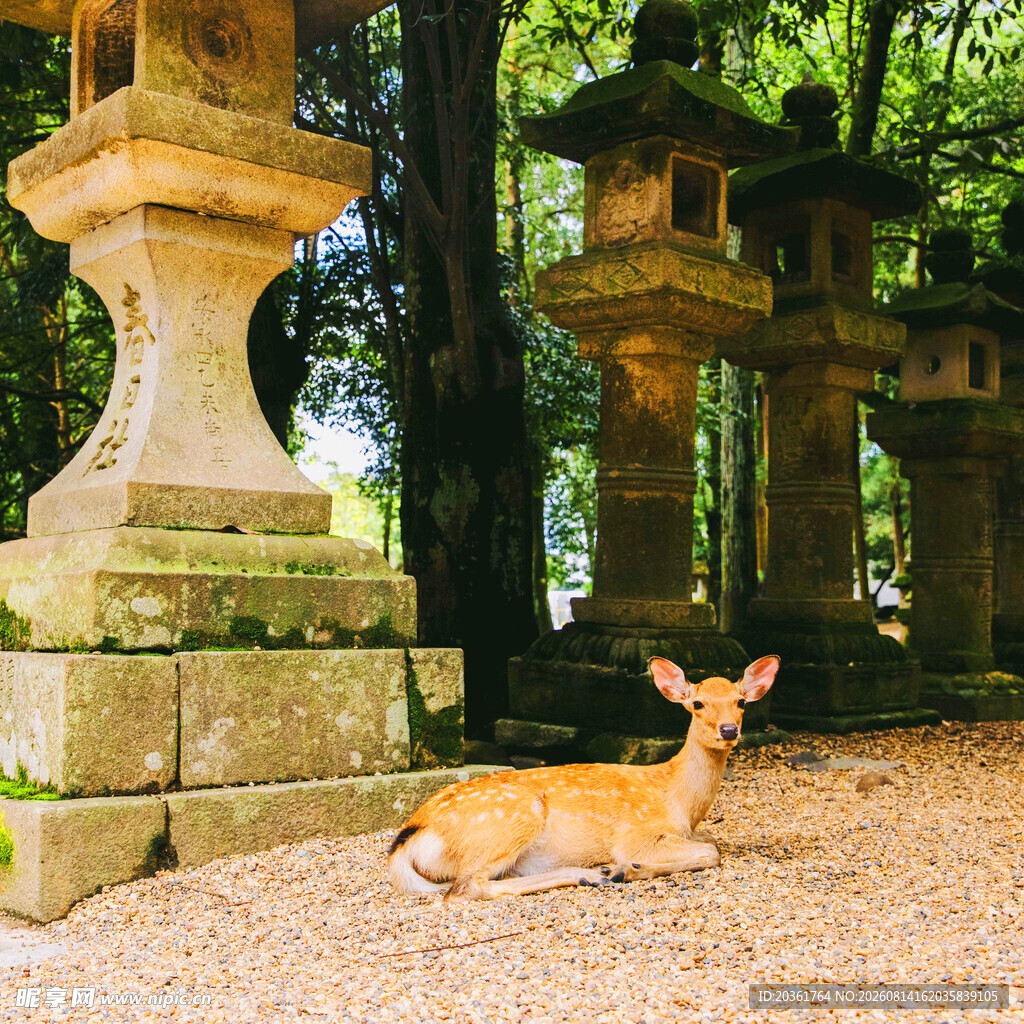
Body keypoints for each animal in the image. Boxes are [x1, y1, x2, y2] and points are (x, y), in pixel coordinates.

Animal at [388, 654, 779, 900]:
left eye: (741, 701)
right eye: (697, 703)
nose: (728, 729)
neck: (679, 801)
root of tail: (409, 838)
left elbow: (711, 841)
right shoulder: (637, 833)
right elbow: (711, 853)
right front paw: (630, 868)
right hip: (514, 816)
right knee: (465, 888)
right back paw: (598, 872)